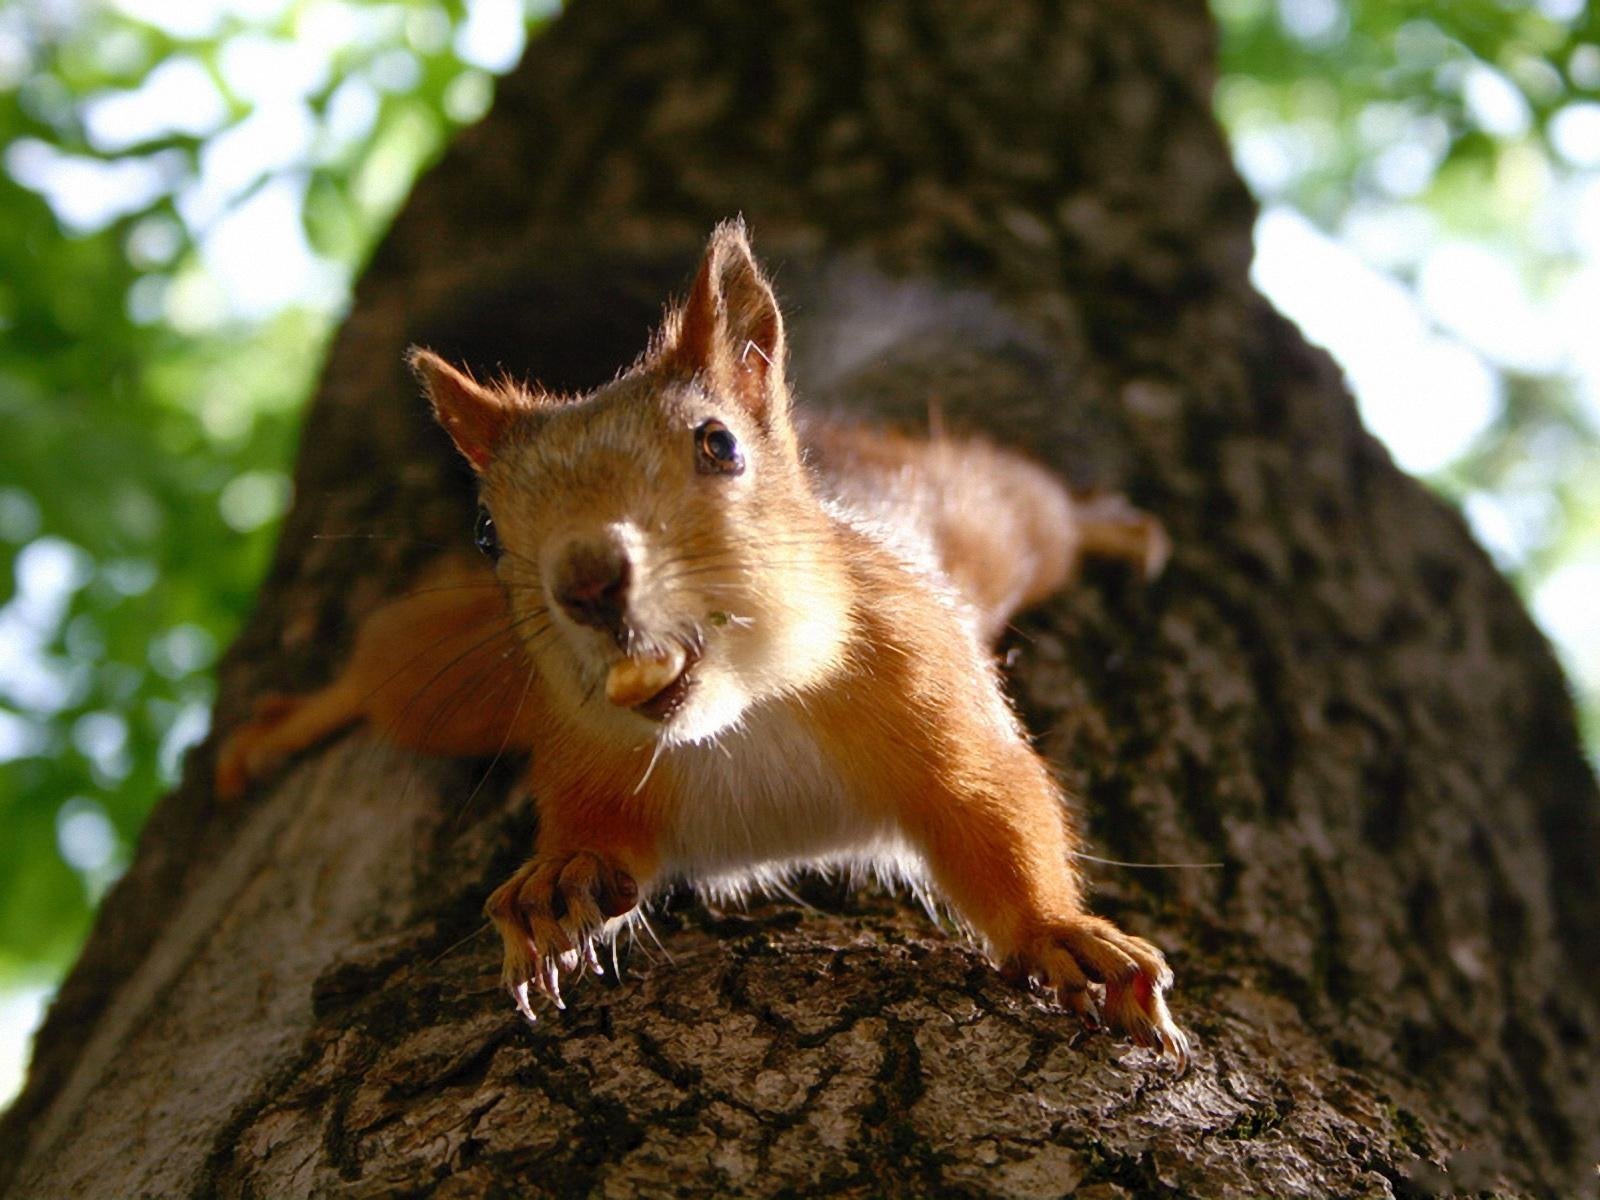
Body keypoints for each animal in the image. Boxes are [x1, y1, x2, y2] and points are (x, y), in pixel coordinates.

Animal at [217, 220, 1187, 1063]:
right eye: (487, 531)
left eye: (719, 445)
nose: (588, 577)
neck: (740, 713)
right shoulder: (581, 747)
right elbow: (597, 836)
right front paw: (555, 883)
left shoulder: (923, 674)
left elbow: (994, 806)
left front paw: (1064, 936)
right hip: (467, 676)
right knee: (385, 676)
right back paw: (288, 722)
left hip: (982, 516)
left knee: (1037, 504)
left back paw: (1110, 528)